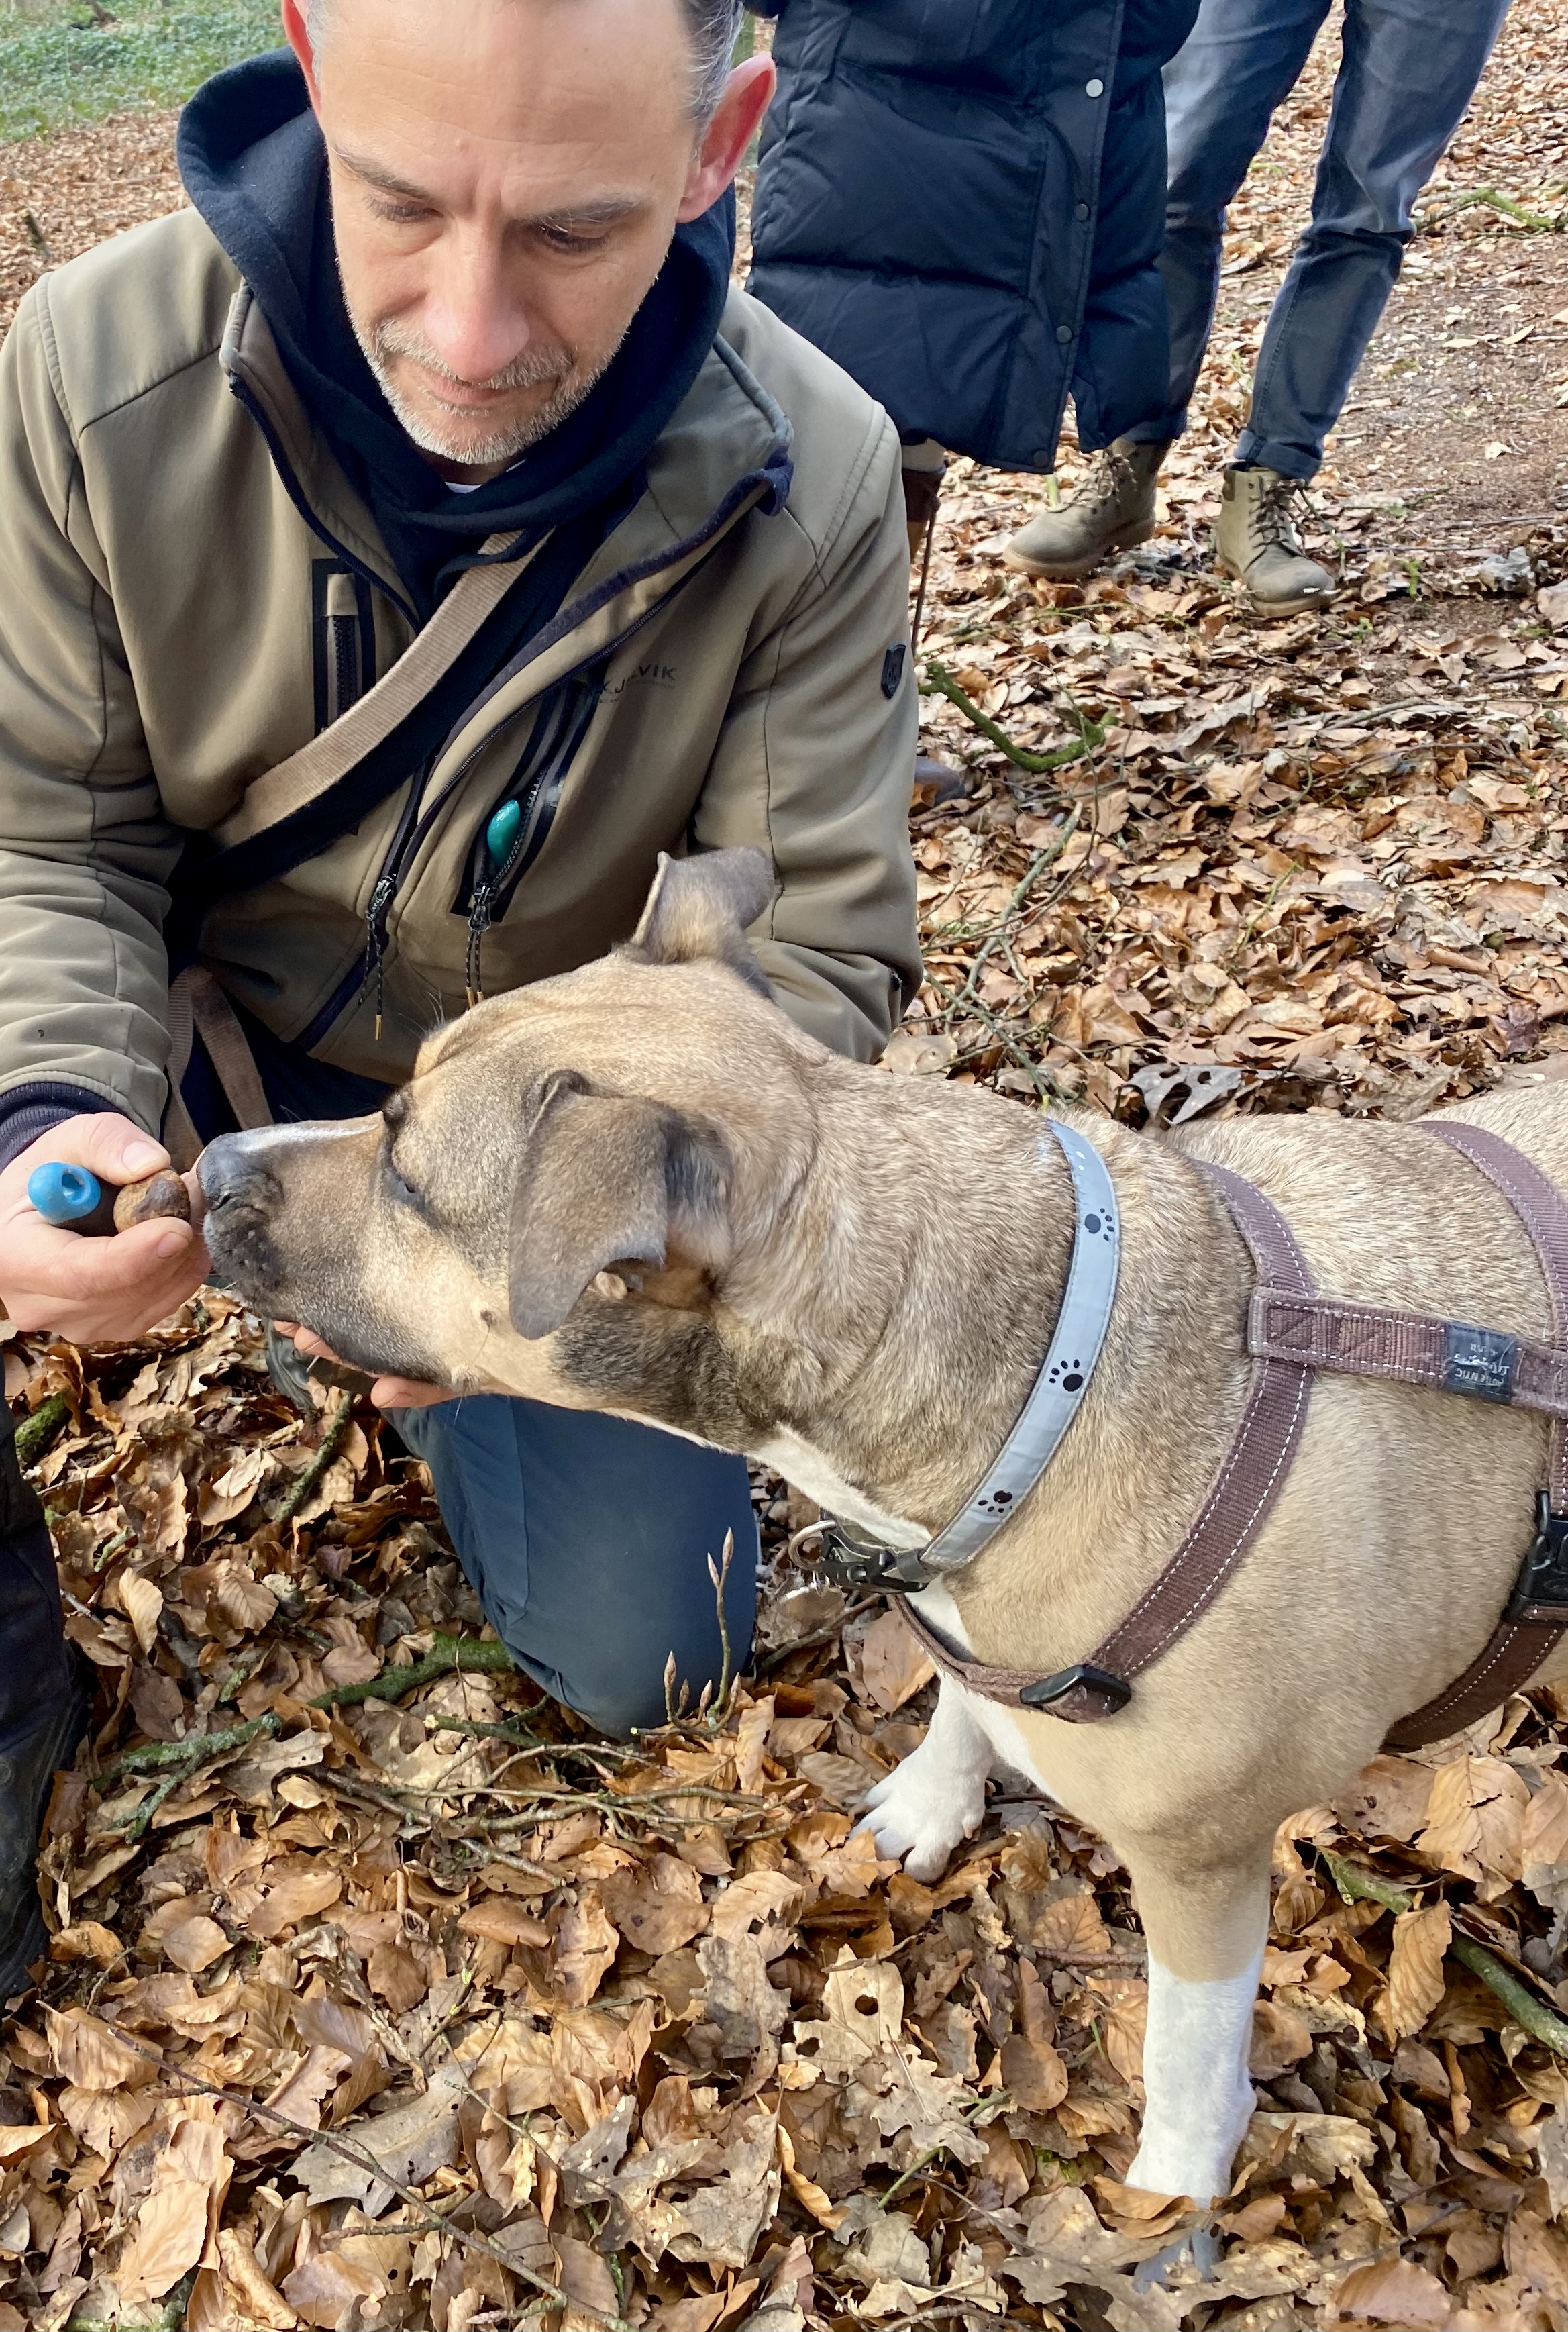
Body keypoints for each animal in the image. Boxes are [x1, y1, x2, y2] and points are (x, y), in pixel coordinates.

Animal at [201, 853, 1556, 2201]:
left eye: (406, 1177)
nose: (207, 1165)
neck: (1050, 1385)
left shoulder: (1200, 1863)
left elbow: (1186, 2065)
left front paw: (1167, 2207)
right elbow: (961, 1693)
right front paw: (933, 1801)